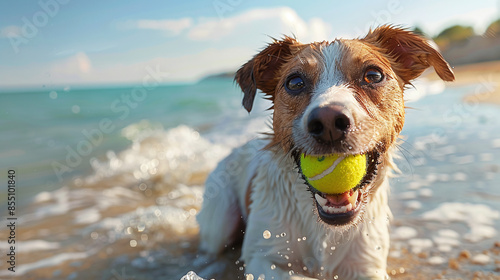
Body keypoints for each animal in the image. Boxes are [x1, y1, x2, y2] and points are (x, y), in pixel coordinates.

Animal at [197, 25, 456, 278]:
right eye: (294, 82)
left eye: (373, 75)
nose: (328, 122)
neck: (326, 231)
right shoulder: (264, 257)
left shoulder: (367, 264)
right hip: (219, 220)